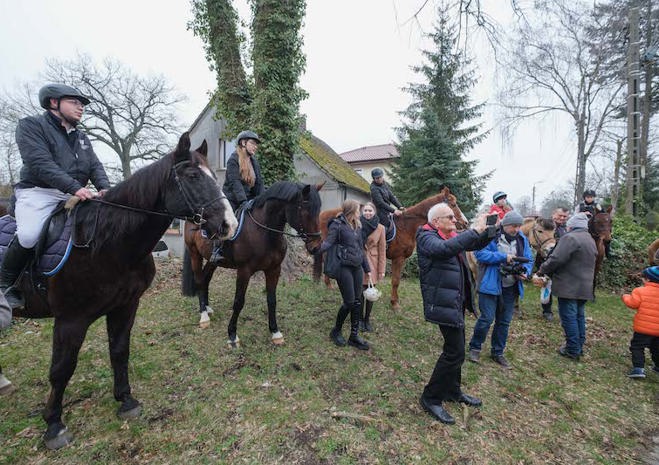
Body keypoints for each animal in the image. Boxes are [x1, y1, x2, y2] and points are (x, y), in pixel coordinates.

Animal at [1, 133, 237, 449]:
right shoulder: (70, 320)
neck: (105, 241)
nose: (228, 224)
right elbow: (61, 369)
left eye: (214, 175)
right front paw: (54, 425)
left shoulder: (125, 306)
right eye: (192, 176)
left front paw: (126, 400)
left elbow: (119, 351)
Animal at [181, 181, 323, 347]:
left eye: (318, 210)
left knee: (206, 279)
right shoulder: (244, 271)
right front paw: (232, 335)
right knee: (199, 280)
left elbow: (272, 300)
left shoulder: (274, 270)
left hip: (212, 260)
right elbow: (238, 301)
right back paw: (204, 316)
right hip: (194, 254)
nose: (316, 247)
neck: (264, 232)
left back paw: (207, 307)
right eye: (305, 210)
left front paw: (275, 332)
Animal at [313, 187, 468, 310]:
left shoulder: (402, 259)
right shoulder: (398, 258)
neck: (406, 226)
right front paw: (394, 303)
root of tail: (324, 214)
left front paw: (395, 301)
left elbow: (396, 281)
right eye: (453, 204)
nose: (465, 223)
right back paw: (329, 284)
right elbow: (395, 281)